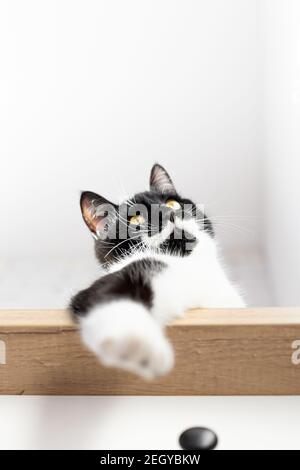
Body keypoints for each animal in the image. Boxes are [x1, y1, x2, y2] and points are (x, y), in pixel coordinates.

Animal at [69, 163, 245, 380]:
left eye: (172, 203)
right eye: (136, 218)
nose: (168, 214)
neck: (189, 264)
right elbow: (108, 295)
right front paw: (137, 343)